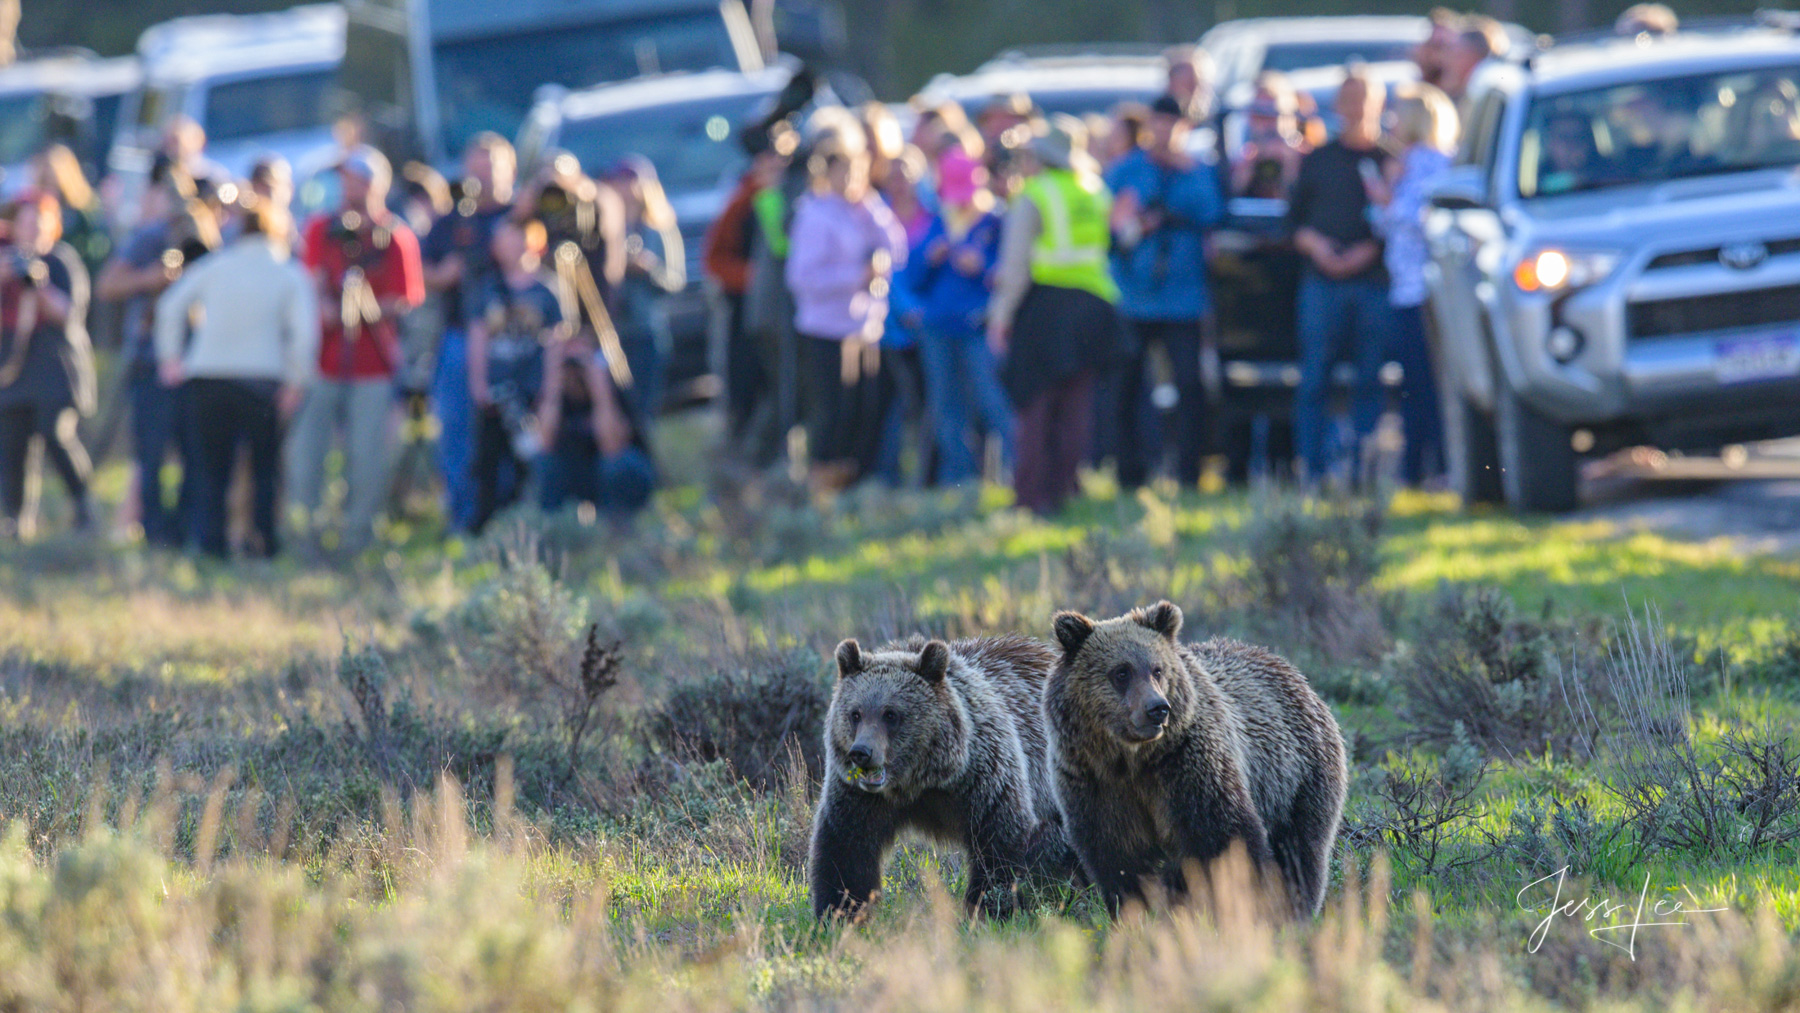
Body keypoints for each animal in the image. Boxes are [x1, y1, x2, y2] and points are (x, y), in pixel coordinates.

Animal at [813, 636, 1065, 921]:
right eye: (855, 713)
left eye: (890, 714)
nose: (862, 752)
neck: (919, 781)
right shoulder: (859, 798)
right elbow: (846, 851)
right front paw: (840, 912)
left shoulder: (984, 779)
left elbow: (999, 843)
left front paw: (988, 907)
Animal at [1044, 600, 1353, 921]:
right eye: (1121, 672)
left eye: (1157, 669)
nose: (1158, 708)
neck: (1132, 759)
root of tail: (1288, 668)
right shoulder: (1096, 785)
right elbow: (1120, 863)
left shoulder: (1187, 768)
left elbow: (1228, 839)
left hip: (1296, 779)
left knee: (1300, 851)